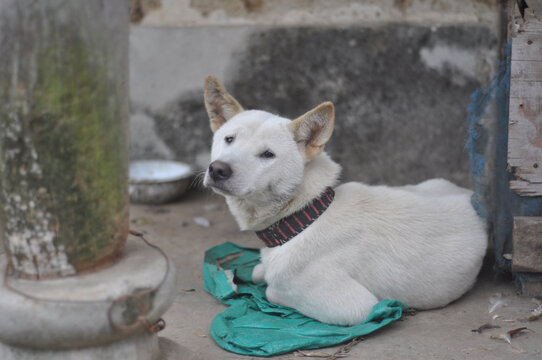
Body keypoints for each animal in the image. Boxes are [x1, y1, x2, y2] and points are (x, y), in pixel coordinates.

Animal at [203, 76, 488, 326]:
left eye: (267, 155)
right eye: (229, 139)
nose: (218, 169)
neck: (305, 217)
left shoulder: (357, 307)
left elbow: (272, 289)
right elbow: (259, 271)